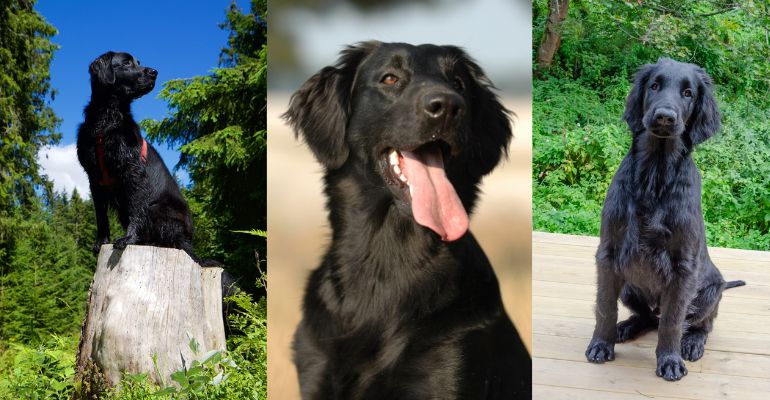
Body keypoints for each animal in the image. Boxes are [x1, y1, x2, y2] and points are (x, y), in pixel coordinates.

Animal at [76, 50, 194, 256]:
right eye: (126, 63)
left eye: (138, 62)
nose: (154, 72)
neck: (107, 120)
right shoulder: (94, 178)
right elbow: (100, 215)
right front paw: (101, 242)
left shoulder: (132, 170)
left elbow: (136, 208)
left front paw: (128, 238)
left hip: (157, 208)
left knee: (175, 240)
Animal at [284, 41, 532, 400]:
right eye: (390, 78)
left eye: (459, 83)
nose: (448, 106)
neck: (385, 261)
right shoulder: (316, 370)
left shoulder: (448, 367)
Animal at [584, 58, 740, 382]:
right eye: (654, 85)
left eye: (688, 93)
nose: (665, 117)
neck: (654, 176)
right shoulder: (609, 253)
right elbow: (605, 305)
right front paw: (601, 343)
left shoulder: (683, 267)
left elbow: (672, 319)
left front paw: (669, 359)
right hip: (629, 285)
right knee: (647, 316)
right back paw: (625, 327)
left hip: (709, 292)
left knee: (699, 323)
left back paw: (691, 343)